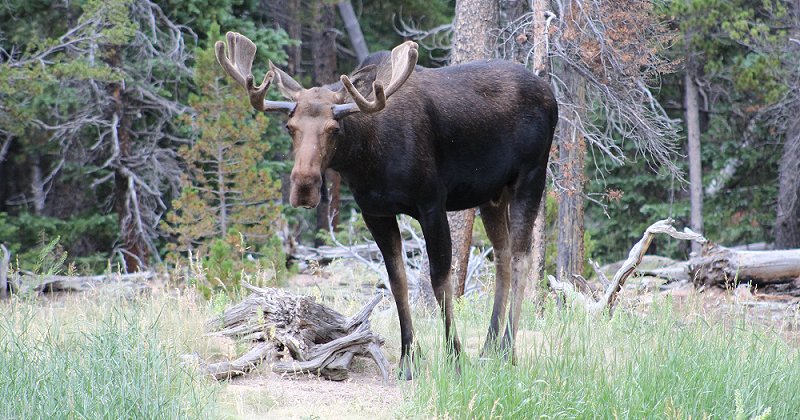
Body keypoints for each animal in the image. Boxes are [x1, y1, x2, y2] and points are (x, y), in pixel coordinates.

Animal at [216, 30, 560, 378]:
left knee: (521, 258)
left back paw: (507, 349)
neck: (367, 157)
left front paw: (455, 357)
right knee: (502, 255)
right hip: (492, 194)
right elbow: (396, 282)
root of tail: (552, 95)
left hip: (530, 177)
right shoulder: (375, 212)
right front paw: (409, 359)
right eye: (290, 127)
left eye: (333, 128)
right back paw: (490, 347)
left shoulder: (432, 204)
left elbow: (440, 281)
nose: (304, 185)